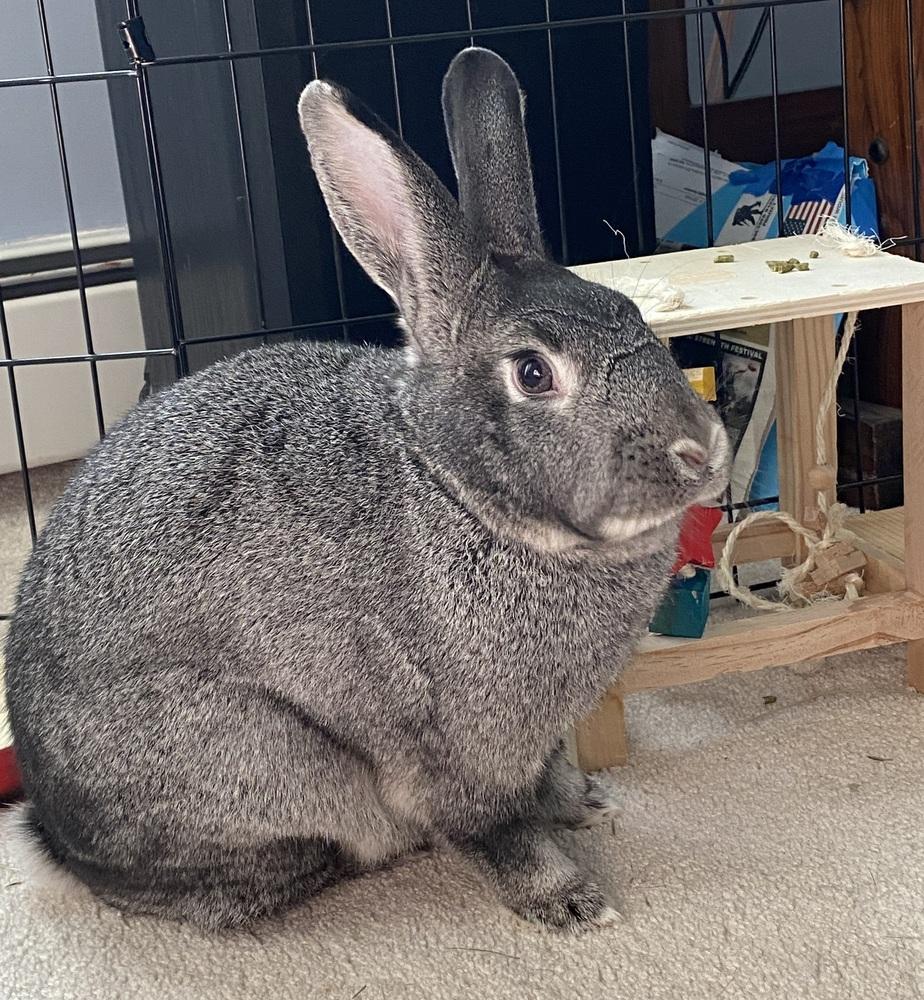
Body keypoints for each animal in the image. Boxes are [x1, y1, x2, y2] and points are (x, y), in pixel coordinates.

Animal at [4, 47, 728, 933]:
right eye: (533, 373)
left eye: (632, 312)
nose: (702, 450)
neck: (451, 487)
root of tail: (56, 840)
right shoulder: (451, 746)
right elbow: (495, 831)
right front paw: (570, 899)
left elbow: (549, 781)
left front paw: (583, 803)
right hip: (267, 758)